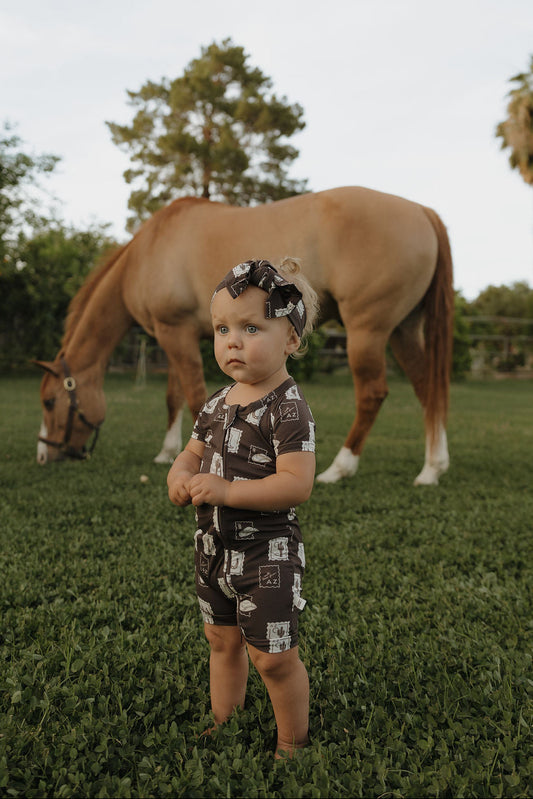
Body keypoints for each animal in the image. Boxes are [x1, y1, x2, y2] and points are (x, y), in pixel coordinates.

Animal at [35, 186, 454, 485]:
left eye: (50, 402)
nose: (43, 455)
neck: (150, 251)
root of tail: (422, 211)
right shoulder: (178, 336)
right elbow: (173, 397)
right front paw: (166, 452)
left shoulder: (175, 335)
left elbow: (194, 397)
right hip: (403, 330)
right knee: (427, 389)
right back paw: (432, 468)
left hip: (368, 331)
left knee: (372, 394)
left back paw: (340, 468)